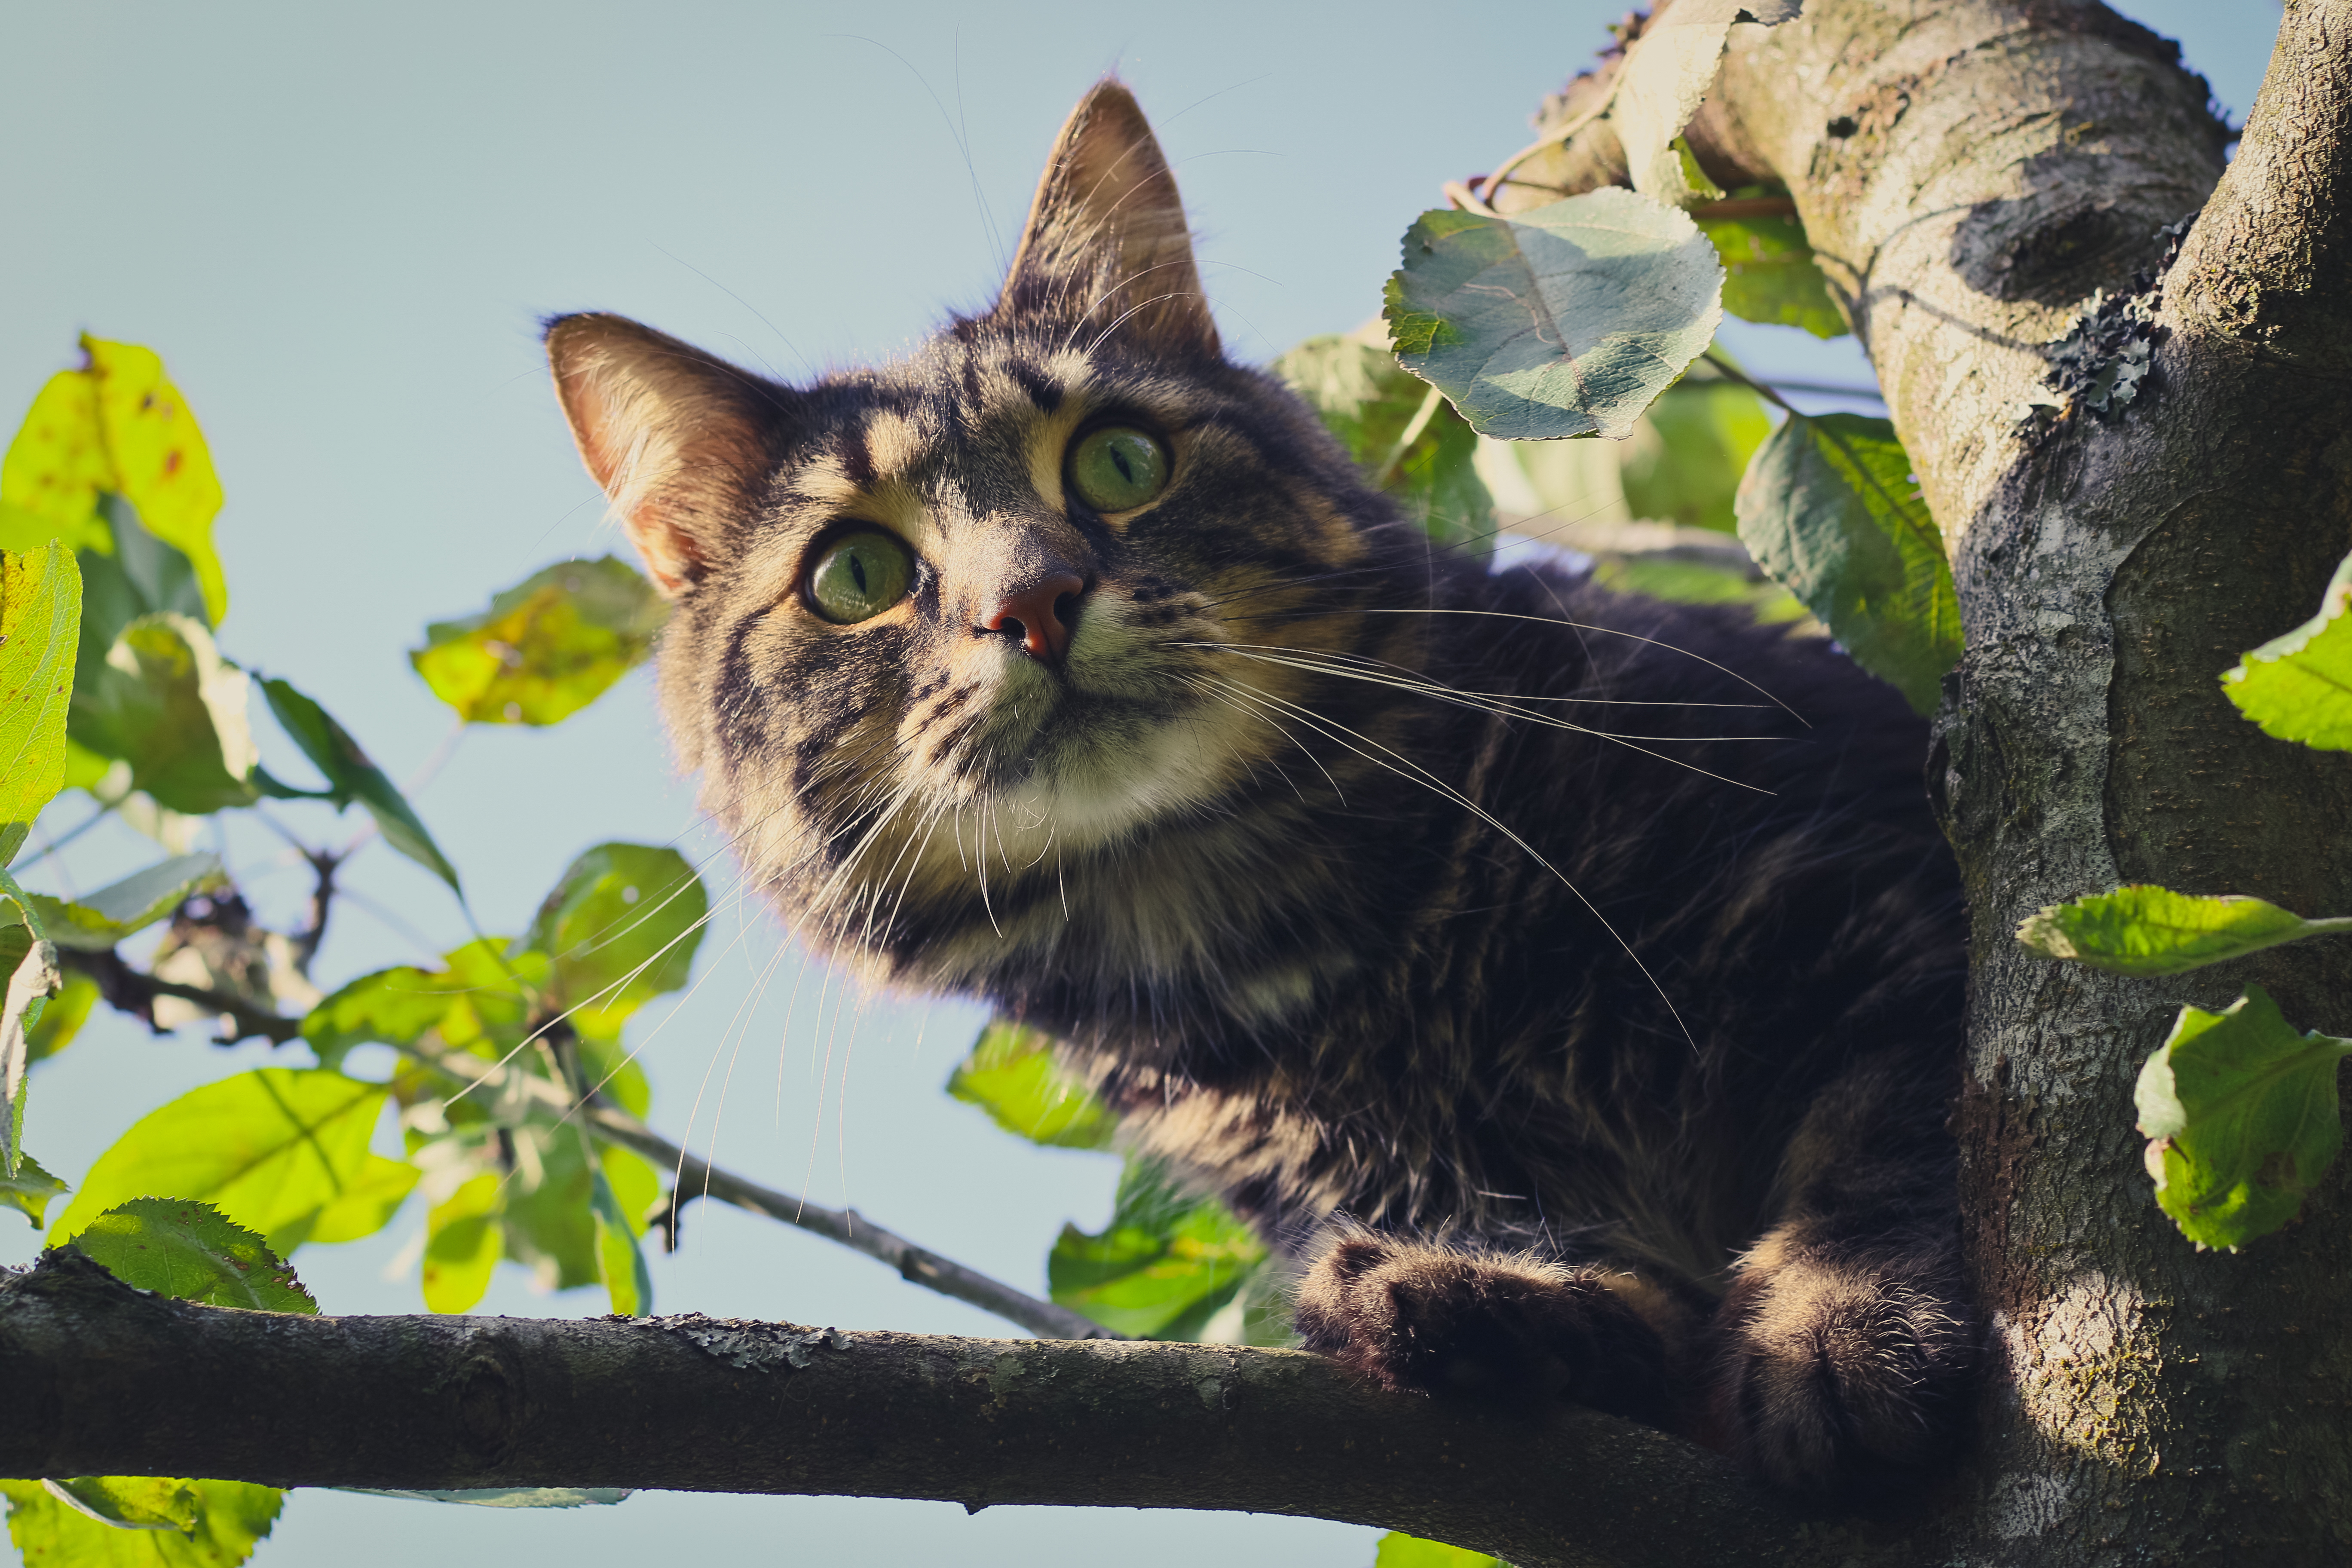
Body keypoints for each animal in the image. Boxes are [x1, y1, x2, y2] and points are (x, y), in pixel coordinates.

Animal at [541, 76, 1975, 1495]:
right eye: (855, 576)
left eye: (1120, 461)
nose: (1033, 601)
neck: (1281, 931)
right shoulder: (1352, 1173)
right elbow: (1602, 1296)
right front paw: (1483, 1305)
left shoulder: (1872, 887)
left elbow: (1888, 1133)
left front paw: (1845, 1327)